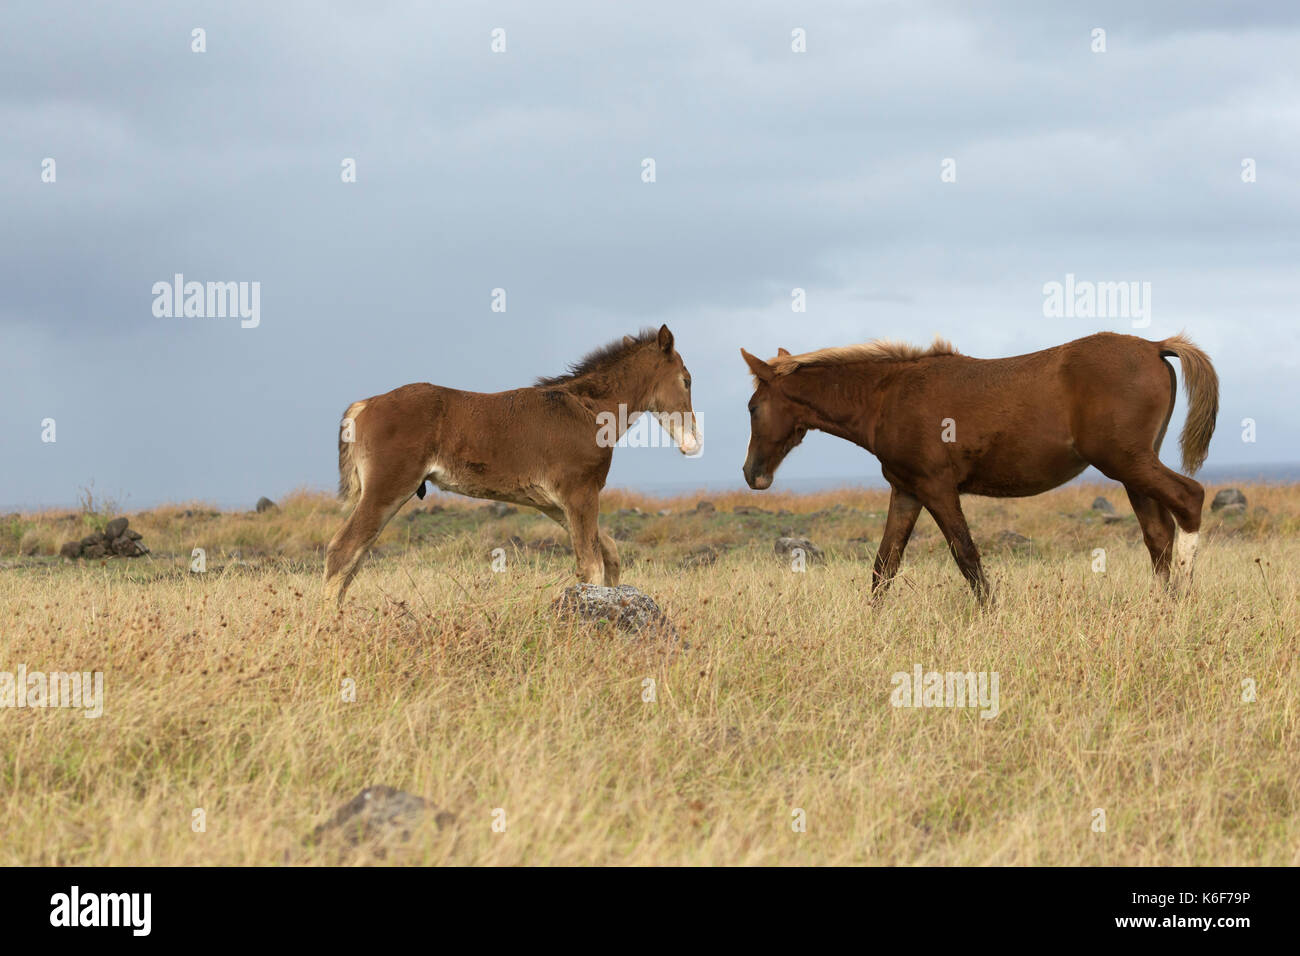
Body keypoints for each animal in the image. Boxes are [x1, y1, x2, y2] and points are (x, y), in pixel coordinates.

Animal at [325, 321, 702, 606]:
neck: (587, 409)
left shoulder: (555, 503)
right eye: (686, 380)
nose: (693, 442)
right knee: (343, 550)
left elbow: (607, 552)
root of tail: (364, 405)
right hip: (388, 488)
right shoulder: (579, 493)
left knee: (354, 557)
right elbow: (591, 564)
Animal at [743, 335, 1216, 606]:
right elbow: (884, 564)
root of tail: (1154, 345)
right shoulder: (906, 490)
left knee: (1189, 499)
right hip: (1132, 469)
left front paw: (991, 613)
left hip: (1126, 460)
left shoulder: (936, 487)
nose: (752, 474)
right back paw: (1162, 606)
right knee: (1158, 533)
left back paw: (1184, 597)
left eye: (751, 407)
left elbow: (966, 555)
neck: (887, 396)